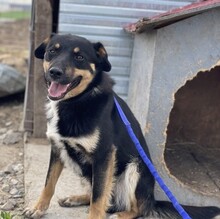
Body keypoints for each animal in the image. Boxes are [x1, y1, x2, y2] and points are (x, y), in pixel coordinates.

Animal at [24, 33, 220, 218]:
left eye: (79, 57)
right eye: (52, 51)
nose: (54, 72)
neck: (77, 101)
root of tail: (152, 199)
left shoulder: (104, 155)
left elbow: (98, 198)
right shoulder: (58, 148)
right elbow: (49, 183)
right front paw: (37, 208)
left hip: (136, 168)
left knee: (136, 208)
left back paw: (120, 214)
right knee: (101, 196)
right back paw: (75, 199)